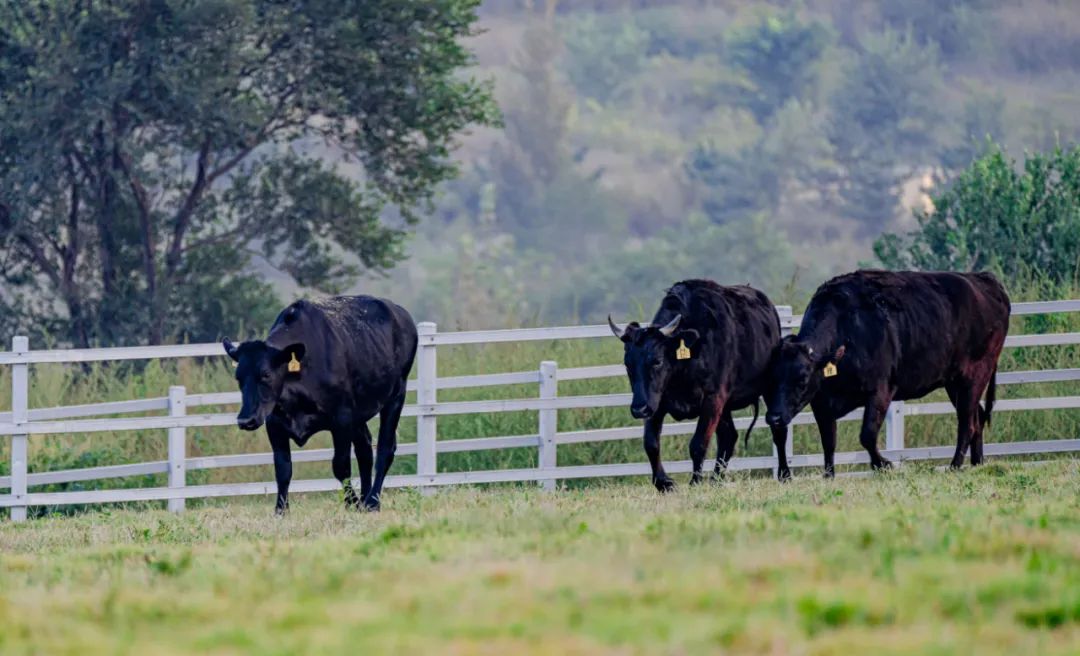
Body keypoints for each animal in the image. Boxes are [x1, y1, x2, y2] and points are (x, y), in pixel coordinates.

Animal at [224, 296, 416, 516]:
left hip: (396, 395)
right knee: (365, 450)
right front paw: (281, 510)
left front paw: (351, 503)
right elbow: (283, 468)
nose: (245, 420)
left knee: (385, 449)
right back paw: (365, 498)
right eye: (238, 377)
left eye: (266, 374)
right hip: (359, 414)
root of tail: (399, 312)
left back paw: (372, 501)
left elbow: (340, 466)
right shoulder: (274, 424)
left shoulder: (342, 419)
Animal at [609, 278, 786, 490]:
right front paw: (664, 483)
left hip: (767, 389)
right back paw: (716, 480)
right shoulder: (656, 403)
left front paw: (695, 482)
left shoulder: (712, 399)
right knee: (729, 436)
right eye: (627, 364)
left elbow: (698, 444)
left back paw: (784, 473)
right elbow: (651, 443)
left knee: (778, 429)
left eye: (657, 361)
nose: (638, 409)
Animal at [764, 269, 1006, 475]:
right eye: (771, 379)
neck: (847, 328)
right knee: (978, 415)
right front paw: (829, 475)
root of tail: (983, 280)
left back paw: (955, 465)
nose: (774, 417)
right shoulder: (822, 403)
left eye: (802, 380)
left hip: (975, 375)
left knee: (967, 422)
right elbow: (829, 441)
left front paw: (884, 464)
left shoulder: (880, 390)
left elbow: (867, 435)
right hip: (954, 382)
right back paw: (977, 463)